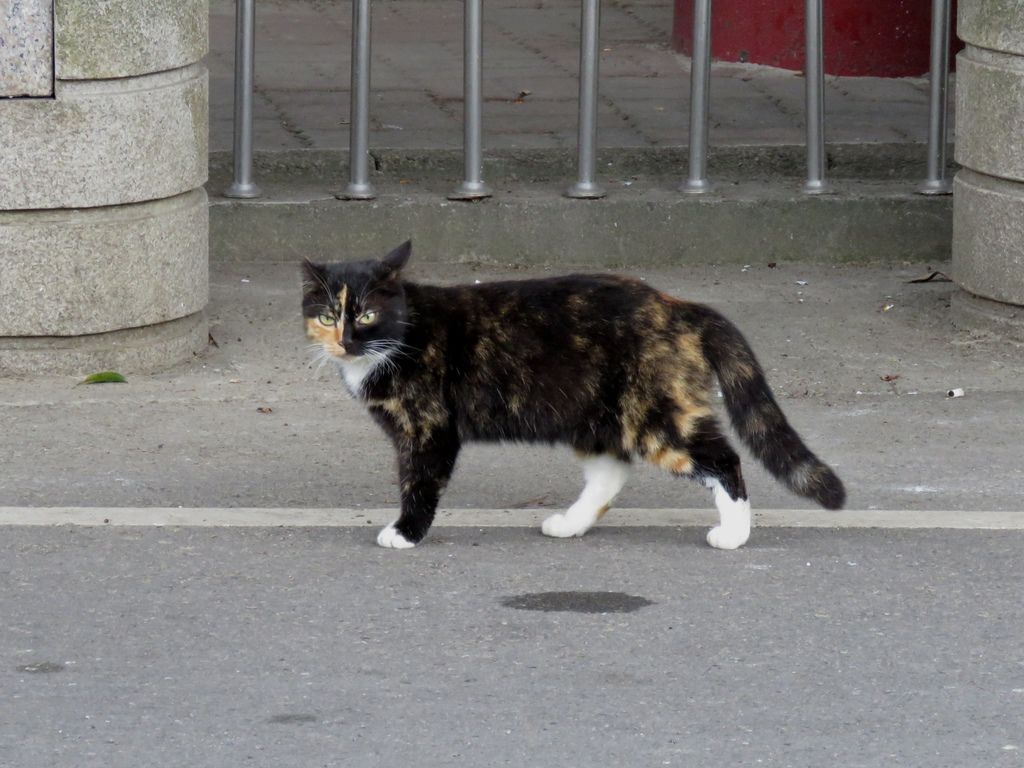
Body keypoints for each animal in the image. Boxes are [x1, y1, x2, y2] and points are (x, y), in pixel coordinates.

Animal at [299, 243, 843, 548]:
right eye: (327, 315)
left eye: (367, 314)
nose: (346, 341)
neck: (403, 333)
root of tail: (678, 305)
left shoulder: (428, 428)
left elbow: (419, 482)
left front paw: (405, 533)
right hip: (593, 412)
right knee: (611, 470)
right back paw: (571, 525)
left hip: (654, 416)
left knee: (723, 459)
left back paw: (733, 534)